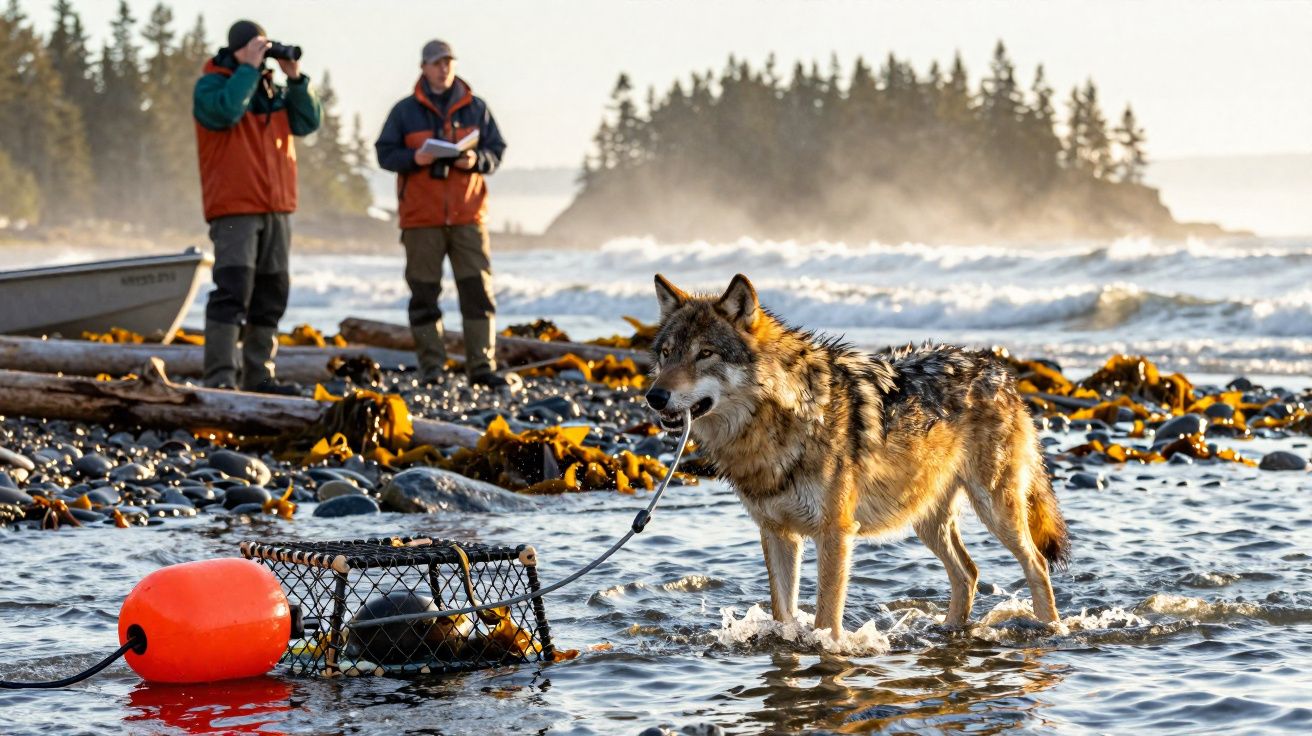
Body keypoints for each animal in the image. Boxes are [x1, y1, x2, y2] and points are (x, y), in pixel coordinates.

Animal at [644, 273, 1069, 637]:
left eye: (705, 353)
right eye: (666, 354)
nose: (654, 396)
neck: (779, 424)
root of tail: (1002, 372)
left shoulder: (835, 532)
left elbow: (826, 618)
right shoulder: (777, 533)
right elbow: (784, 614)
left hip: (995, 509)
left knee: (1036, 564)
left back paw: (1050, 628)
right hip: (925, 518)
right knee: (968, 572)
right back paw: (948, 630)